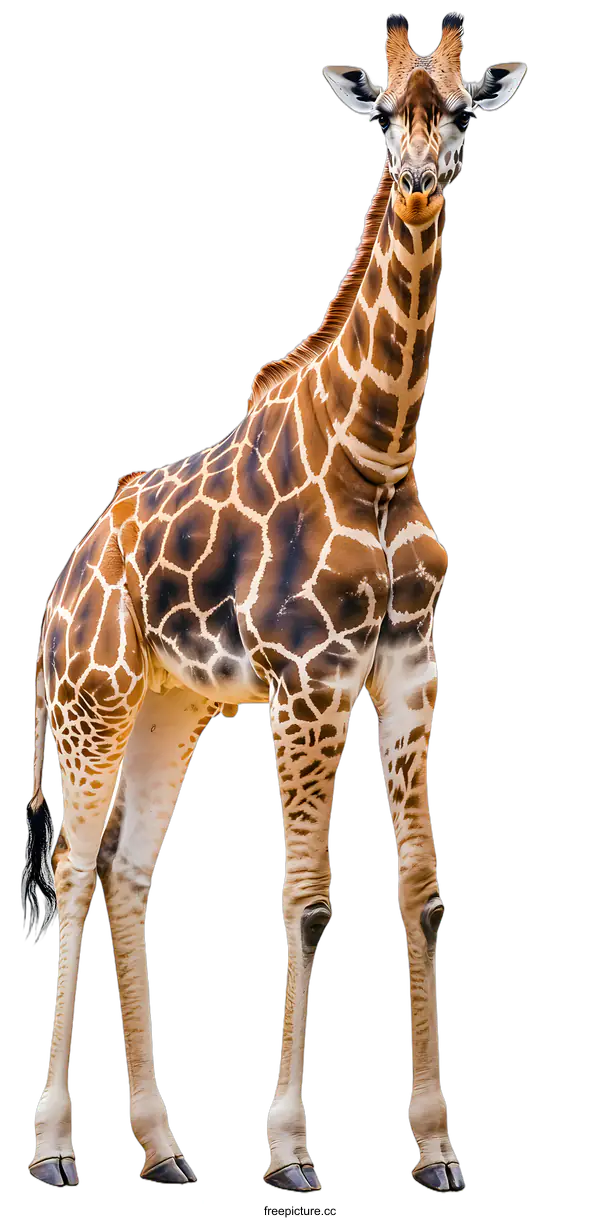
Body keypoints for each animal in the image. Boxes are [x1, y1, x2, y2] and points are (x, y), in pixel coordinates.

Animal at [21, 12, 528, 1197]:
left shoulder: (409, 665)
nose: (424, 177)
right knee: (72, 872)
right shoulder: (310, 677)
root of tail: (56, 591)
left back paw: (165, 1153)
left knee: (129, 873)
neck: (379, 451)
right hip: (93, 703)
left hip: (170, 708)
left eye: (463, 109)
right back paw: (53, 1149)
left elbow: (421, 891)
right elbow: (308, 895)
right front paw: (293, 1154)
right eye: (385, 115)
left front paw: (438, 1151)